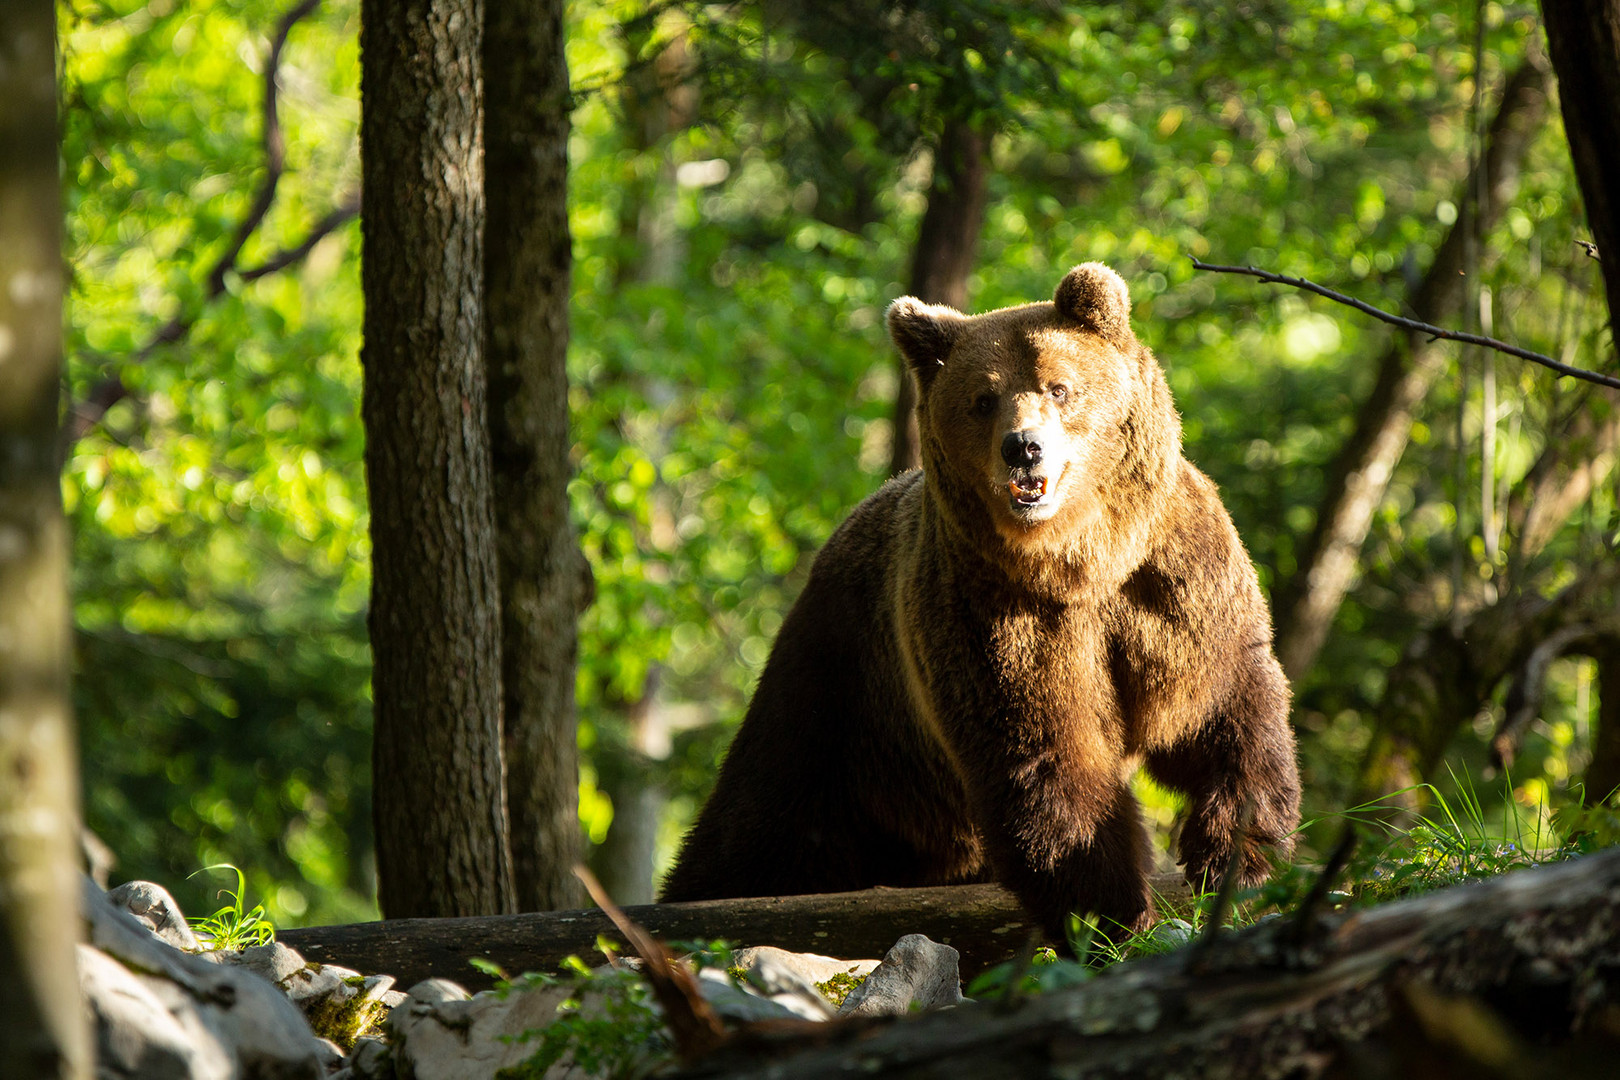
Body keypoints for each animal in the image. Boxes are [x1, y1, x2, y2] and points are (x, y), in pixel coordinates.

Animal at [651, 263, 1296, 945]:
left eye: (1059, 387)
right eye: (983, 399)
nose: (1023, 447)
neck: (1078, 557)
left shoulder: (1171, 586)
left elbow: (1219, 711)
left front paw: (1236, 858)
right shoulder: (992, 615)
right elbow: (1044, 755)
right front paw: (1109, 916)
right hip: (843, 687)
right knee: (768, 809)